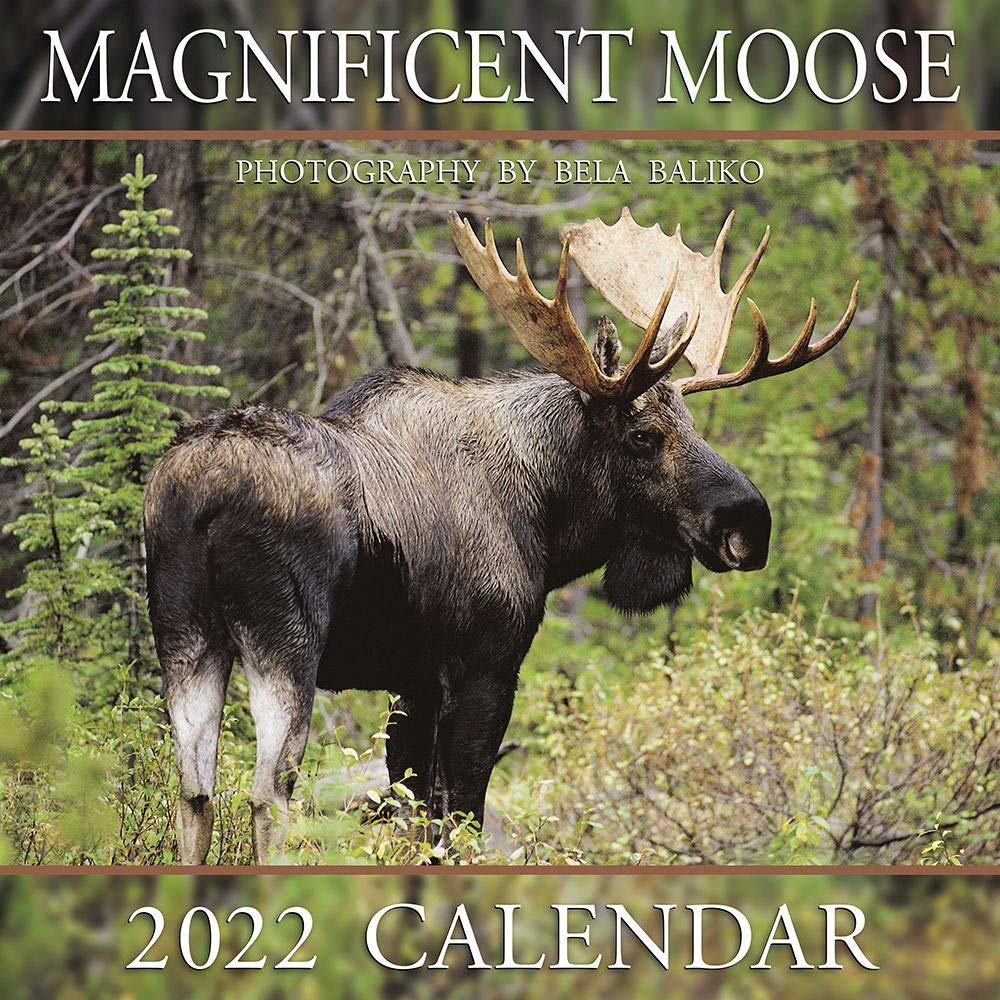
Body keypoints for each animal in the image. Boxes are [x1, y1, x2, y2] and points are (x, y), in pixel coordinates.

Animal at [144, 208, 858, 864]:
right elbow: (461, 817)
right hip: (286, 643)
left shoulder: (415, 680)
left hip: (184, 638)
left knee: (194, 790)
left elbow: (413, 815)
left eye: (690, 422)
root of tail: (202, 497)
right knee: (268, 792)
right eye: (642, 435)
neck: (547, 518)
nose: (750, 524)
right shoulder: (487, 663)